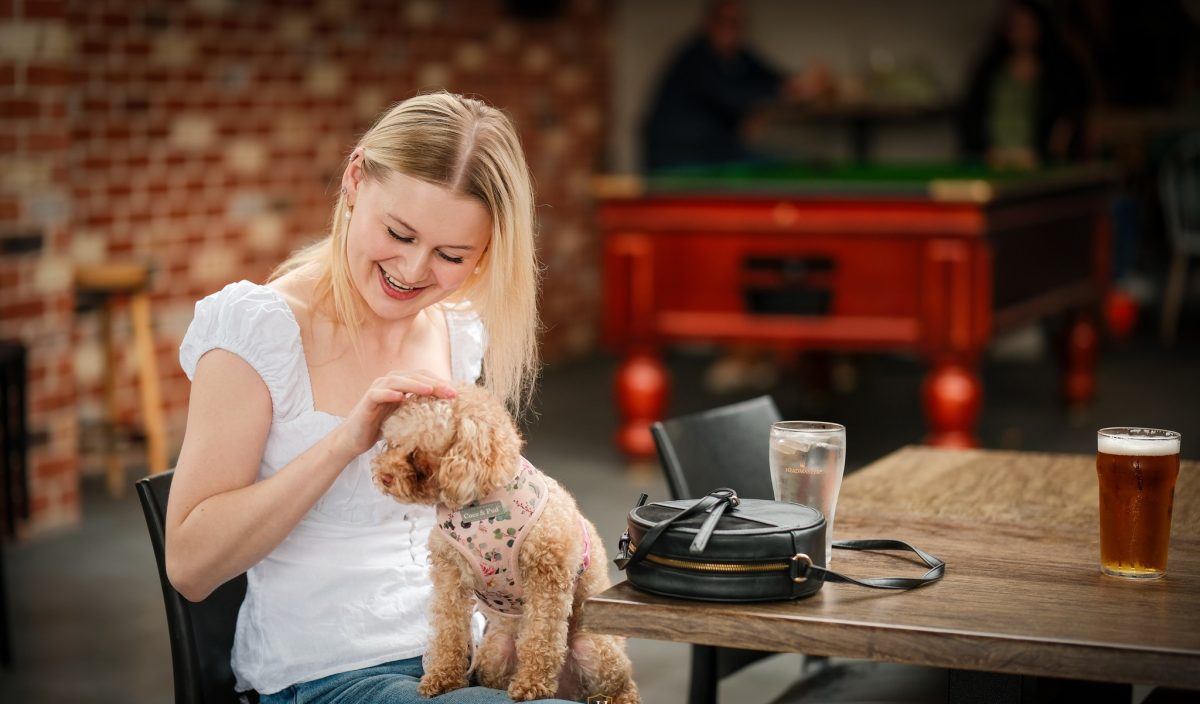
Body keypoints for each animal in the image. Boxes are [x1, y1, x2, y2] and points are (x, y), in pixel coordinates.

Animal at [372, 386, 638, 704]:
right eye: (391, 443)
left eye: (417, 453)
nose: (383, 476)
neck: (480, 505)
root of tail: (566, 689)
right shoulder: (449, 575)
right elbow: (449, 630)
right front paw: (442, 677)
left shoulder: (547, 576)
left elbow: (541, 636)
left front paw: (532, 684)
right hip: (495, 650)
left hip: (593, 646)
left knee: (622, 684)